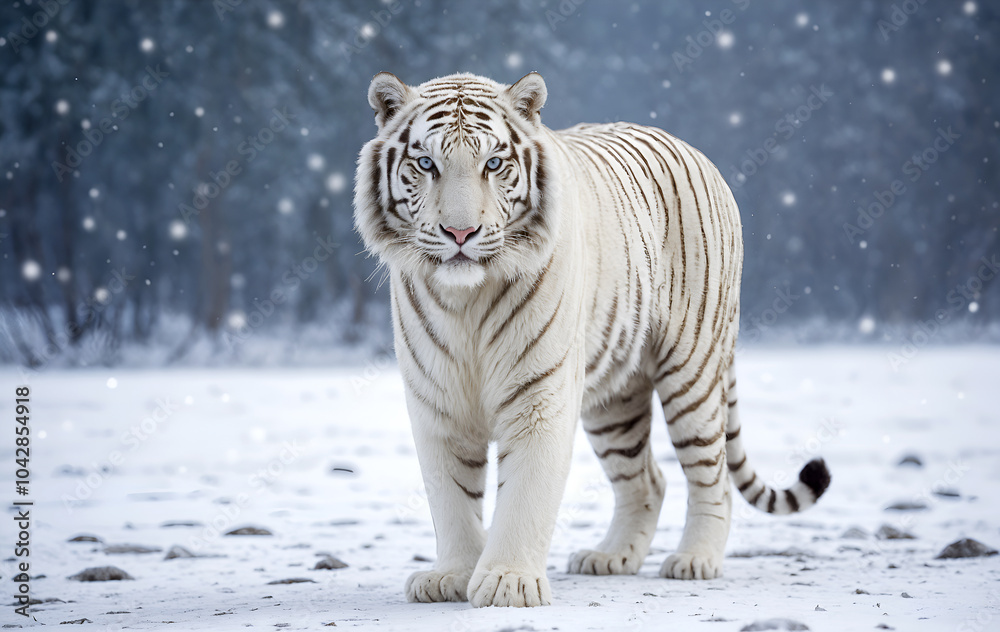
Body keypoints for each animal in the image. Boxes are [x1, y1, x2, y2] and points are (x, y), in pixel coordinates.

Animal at [353, 71, 830, 608]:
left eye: (493, 163)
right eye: (425, 163)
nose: (460, 232)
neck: (466, 302)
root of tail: (695, 151)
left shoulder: (538, 395)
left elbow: (525, 495)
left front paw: (508, 582)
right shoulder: (437, 401)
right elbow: (451, 496)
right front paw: (452, 576)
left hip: (692, 371)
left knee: (713, 475)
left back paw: (695, 560)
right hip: (614, 400)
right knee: (648, 481)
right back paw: (611, 557)